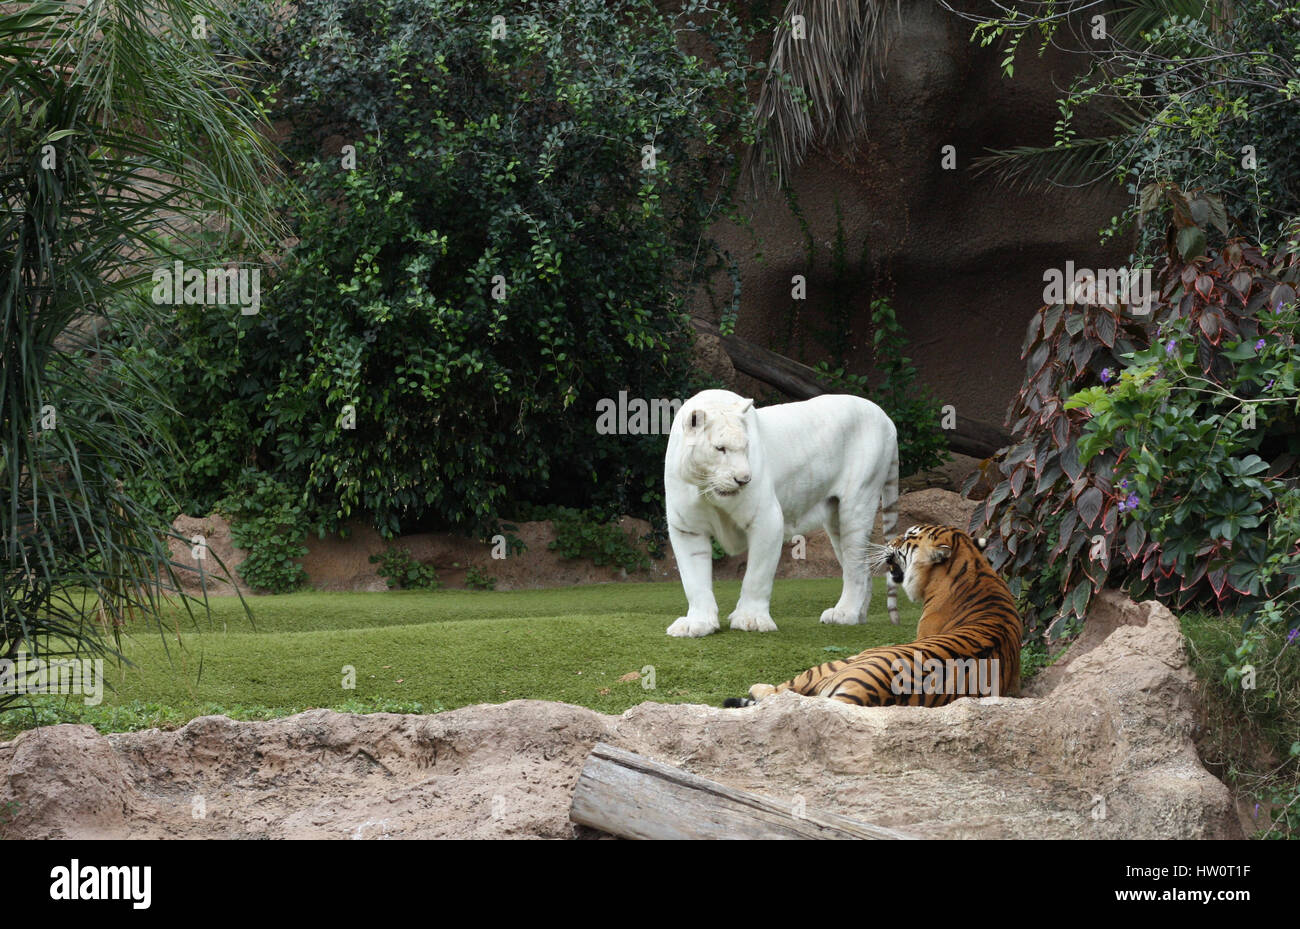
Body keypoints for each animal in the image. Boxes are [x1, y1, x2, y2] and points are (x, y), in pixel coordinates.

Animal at [665, 387, 899, 639]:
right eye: (720, 449)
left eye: (745, 447)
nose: (744, 479)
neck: (705, 488)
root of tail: (886, 418)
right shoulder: (687, 529)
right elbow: (694, 581)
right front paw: (697, 623)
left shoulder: (766, 519)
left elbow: (756, 575)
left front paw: (751, 619)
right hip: (836, 519)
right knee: (862, 568)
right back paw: (857, 616)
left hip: (857, 504)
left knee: (856, 568)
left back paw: (845, 614)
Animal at [728, 527, 1019, 706]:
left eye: (908, 536)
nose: (889, 541)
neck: (974, 567)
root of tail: (862, 694)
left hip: (840, 662)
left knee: (781, 691)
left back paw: (758, 686)